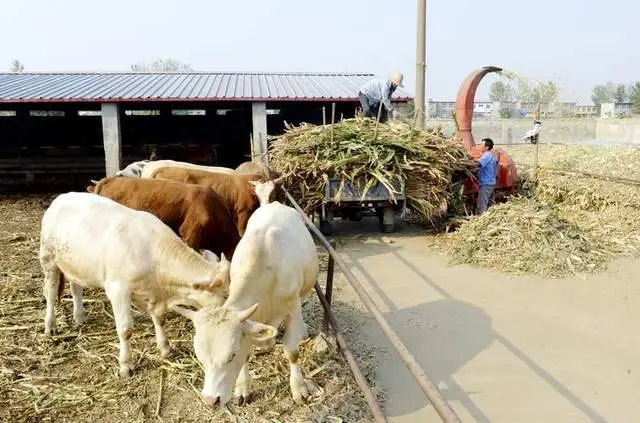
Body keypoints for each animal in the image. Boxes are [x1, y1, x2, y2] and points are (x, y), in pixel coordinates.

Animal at [39, 192, 232, 378]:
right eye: (224, 295)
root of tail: (61, 198)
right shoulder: (118, 290)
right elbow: (126, 330)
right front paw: (126, 365)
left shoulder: (152, 292)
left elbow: (159, 319)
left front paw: (165, 348)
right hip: (48, 260)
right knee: (50, 293)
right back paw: (50, 325)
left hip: (76, 265)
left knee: (76, 288)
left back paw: (79, 317)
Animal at [172, 199, 320, 408]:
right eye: (199, 355)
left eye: (231, 355)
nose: (210, 400)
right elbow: (247, 355)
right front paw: (242, 387)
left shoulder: (292, 305)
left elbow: (291, 351)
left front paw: (298, 386)